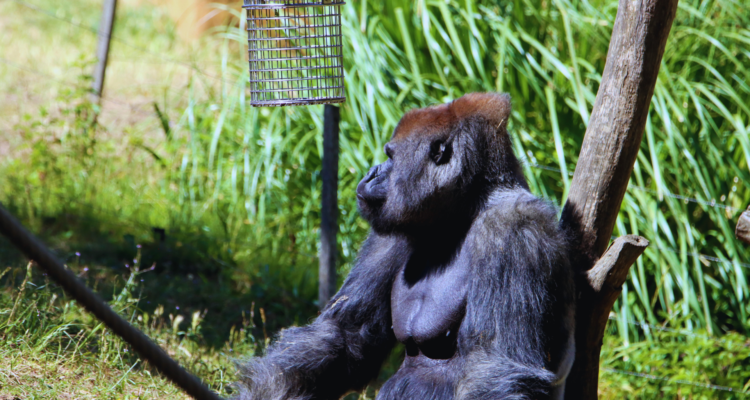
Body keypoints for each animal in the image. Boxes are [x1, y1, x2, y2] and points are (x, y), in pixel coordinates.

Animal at [236, 92, 575, 400]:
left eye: (390, 156)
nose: (371, 172)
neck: (463, 211)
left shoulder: (513, 228)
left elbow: (496, 365)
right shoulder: (391, 229)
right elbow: (345, 336)